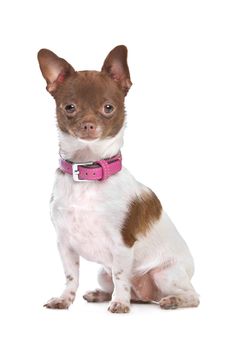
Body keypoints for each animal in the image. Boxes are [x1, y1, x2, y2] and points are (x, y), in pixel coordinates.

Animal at [37, 45, 199, 312]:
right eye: (69, 107)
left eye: (108, 108)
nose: (88, 125)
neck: (88, 169)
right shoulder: (65, 245)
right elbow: (71, 277)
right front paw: (64, 299)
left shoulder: (122, 244)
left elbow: (121, 275)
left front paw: (120, 304)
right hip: (102, 273)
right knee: (117, 285)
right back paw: (102, 295)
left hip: (166, 274)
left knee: (193, 296)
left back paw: (171, 300)